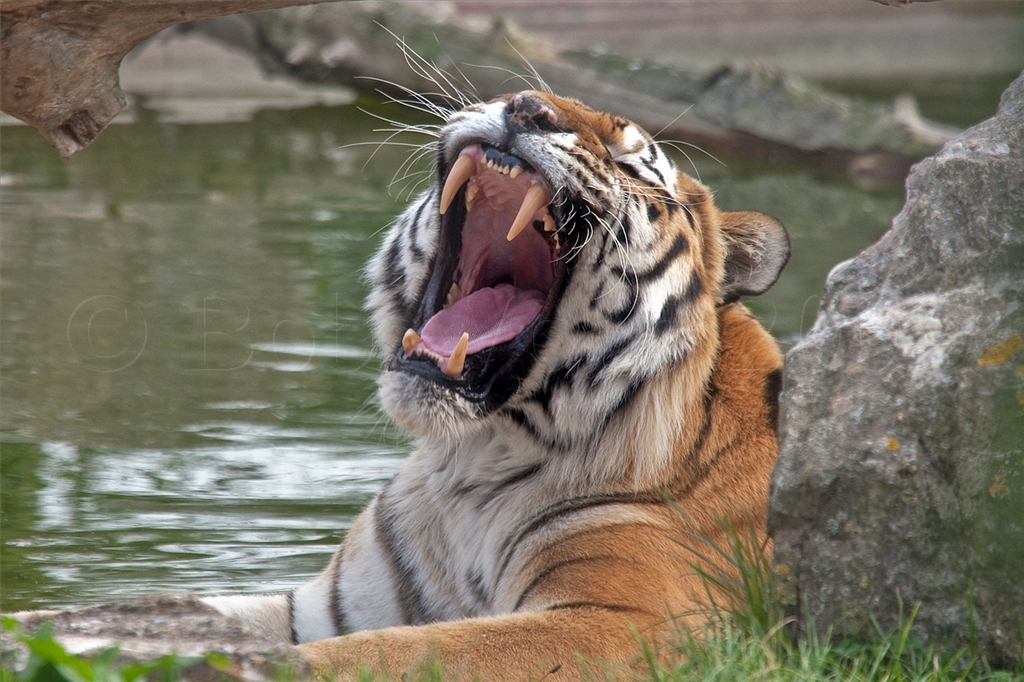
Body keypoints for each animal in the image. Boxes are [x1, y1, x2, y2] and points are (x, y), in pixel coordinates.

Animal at [203, 90, 790, 680]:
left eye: (626, 160)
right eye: (513, 97)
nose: (528, 108)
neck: (470, 467)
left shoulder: (623, 620)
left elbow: (396, 652)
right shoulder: (329, 604)